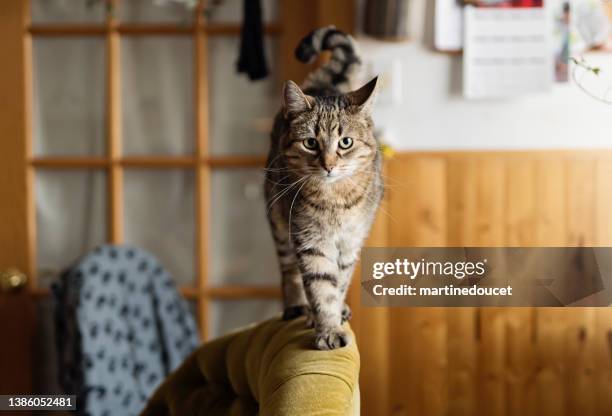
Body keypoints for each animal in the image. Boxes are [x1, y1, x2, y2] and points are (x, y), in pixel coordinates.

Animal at [266, 26, 384, 350]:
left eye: (346, 142)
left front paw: (333, 317)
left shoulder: (350, 242)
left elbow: (339, 283)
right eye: (310, 143)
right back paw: (297, 307)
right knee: (288, 270)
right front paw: (327, 328)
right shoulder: (310, 241)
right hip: (278, 221)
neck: (335, 201)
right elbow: (320, 287)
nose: (329, 165)